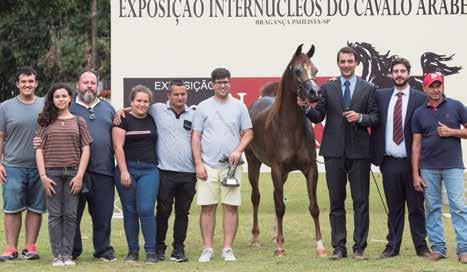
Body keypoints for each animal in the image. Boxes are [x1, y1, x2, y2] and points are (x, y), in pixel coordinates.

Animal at [247, 44, 328, 258]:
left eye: (315, 70)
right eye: (298, 70)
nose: (315, 93)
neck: (290, 128)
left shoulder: (310, 170)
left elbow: (314, 207)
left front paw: (320, 246)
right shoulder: (276, 169)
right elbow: (280, 207)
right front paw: (280, 249)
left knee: (276, 196)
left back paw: (277, 236)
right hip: (253, 163)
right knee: (256, 197)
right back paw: (257, 239)